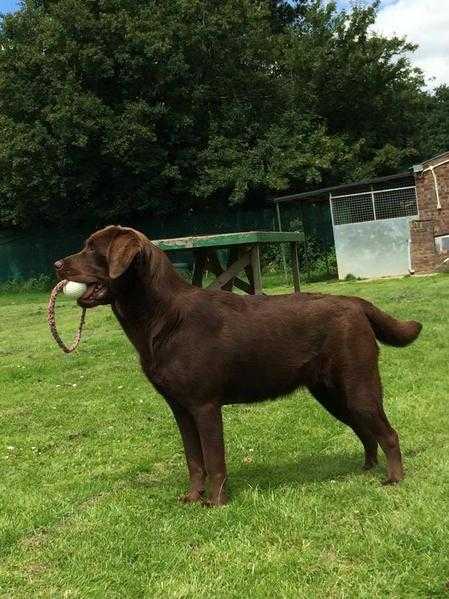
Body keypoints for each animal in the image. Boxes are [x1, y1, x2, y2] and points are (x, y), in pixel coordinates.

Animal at [54, 226, 422, 506]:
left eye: (92, 249)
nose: (57, 264)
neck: (161, 317)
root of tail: (355, 303)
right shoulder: (180, 409)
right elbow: (194, 460)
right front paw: (192, 498)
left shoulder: (204, 405)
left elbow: (214, 459)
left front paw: (215, 503)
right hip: (330, 393)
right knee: (365, 431)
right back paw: (366, 469)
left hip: (358, 385)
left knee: (388, 433)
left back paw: (393, 478)